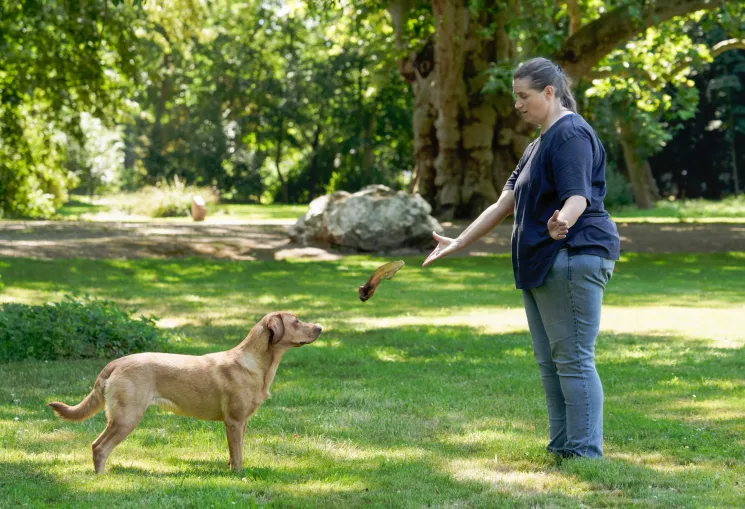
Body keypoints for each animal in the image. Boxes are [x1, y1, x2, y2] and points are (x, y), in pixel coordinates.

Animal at [48, 312, 322, 474]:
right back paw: (101, 478)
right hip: (126, 417)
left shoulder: (241, 422)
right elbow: (237, 455)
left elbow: (236, 452)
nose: (320, 327)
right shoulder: (234, 421)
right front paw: (238, 476)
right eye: (297, 321)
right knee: (99, 446)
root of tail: (115, 363)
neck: (257, 363)